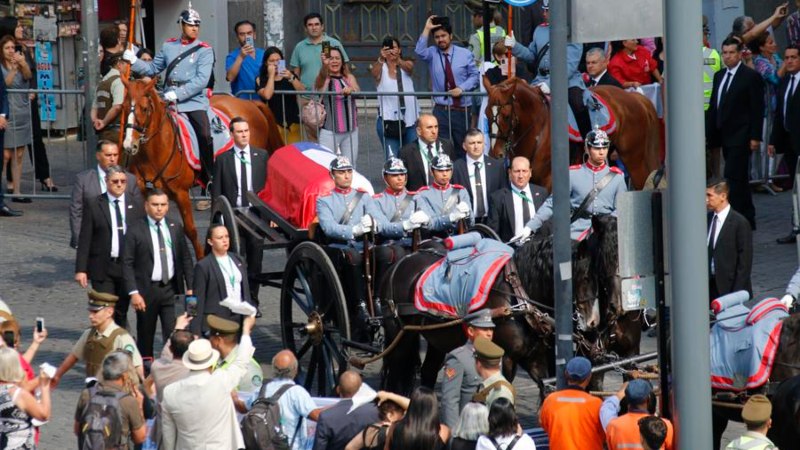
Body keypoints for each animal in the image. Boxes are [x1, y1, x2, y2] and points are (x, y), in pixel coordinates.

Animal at [122, 77, 284, 256]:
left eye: (144, 109)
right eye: (123, 107)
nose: (129, 145)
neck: (155, 151)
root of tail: (249, 103)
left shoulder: (181, 194)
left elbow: (190, 230)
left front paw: (201, 256)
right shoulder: (146, 193)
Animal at [484, 77, 660, 190]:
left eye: (506, 116)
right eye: (486, 114)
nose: (495, 154)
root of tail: (633, 96)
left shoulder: (548, 183)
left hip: (634, 159)